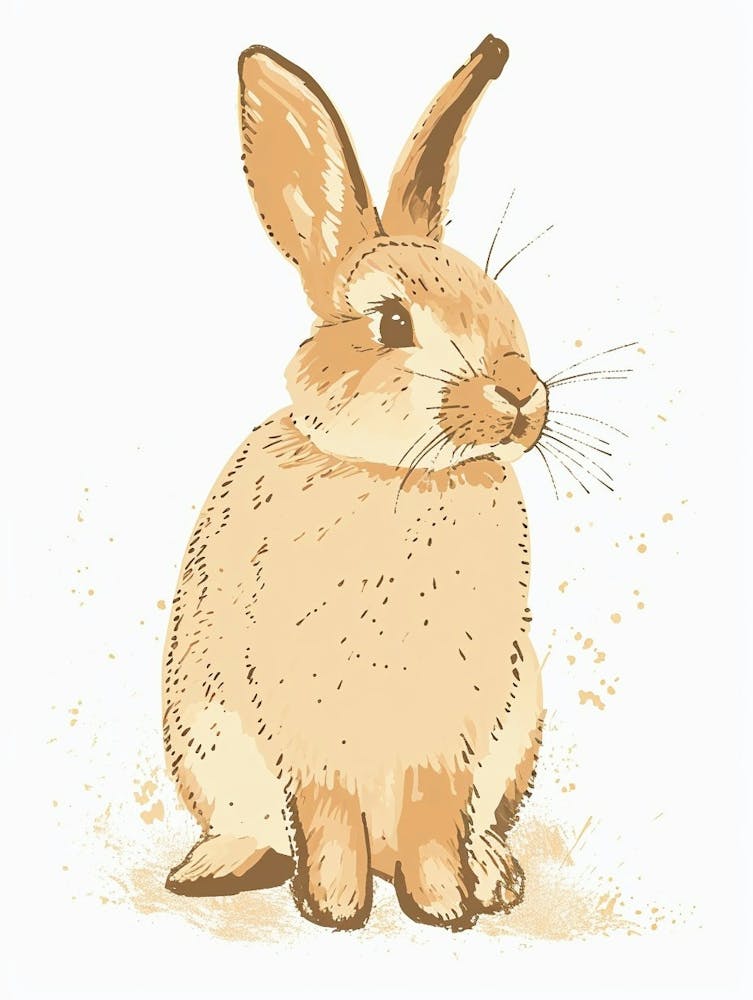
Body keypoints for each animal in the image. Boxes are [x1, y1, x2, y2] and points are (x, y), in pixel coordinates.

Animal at [162, 34, 547, 932]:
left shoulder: (450, 729)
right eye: (393, 323)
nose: (520, 392)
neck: (400, 472)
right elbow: (329, 815)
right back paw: (217, 867)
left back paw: (490, 874)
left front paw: (443, 906)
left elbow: (433, 819)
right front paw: (336, 908)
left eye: (496, 298)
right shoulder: (310, 726)